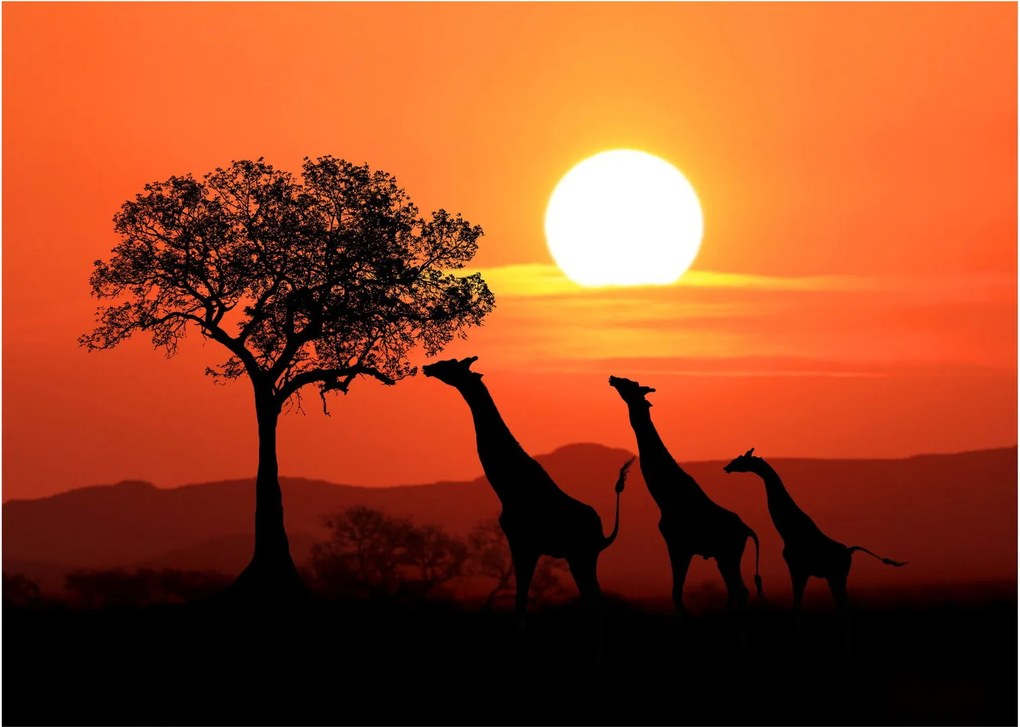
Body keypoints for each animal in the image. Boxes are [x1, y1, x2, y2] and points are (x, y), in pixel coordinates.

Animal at [424, 356, 633, 662]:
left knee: (596, 603)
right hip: (581, 557)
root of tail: (602, 535)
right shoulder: (527, 546)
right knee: (595, 602)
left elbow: (520, 603)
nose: (428, 368)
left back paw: (597, 658)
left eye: (451, 365)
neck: (509, 486)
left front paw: (518, 656)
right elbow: (521, 602)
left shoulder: (523, 543)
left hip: (580, 556)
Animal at [608, 376, 762, 642]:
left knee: (741, 591)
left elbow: (676, 595)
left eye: (630, 384)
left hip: (729, 554)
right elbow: (677, 595)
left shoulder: (678, 545)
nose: (613, 378)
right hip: (723, 557)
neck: (667, 496)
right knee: (735, 592)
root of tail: (746, 529)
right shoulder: (682, 548)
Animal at [723, 448, 906, 627]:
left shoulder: (797, 569)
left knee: (844, 609)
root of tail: (849, 551)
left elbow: (797, 608)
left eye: (741, 459)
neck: (788, 532)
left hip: (837, 576)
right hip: (835, 577)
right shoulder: (802, 571)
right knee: (842, 608)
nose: (727, 467)